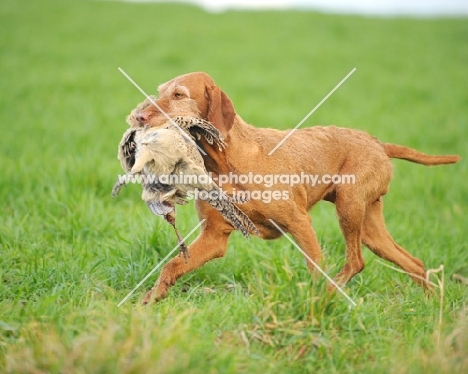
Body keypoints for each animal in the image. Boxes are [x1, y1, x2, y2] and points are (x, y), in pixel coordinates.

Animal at [130, 71, 458, 304]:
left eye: (178, 94)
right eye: (160, 91)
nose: (139, 116)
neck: (226, 161)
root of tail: (378, 143)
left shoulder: (300, 223)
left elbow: (316, 270)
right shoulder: (214, 237)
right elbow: (172, 266)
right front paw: (150, 299)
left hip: (349, 205)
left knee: (356, 261)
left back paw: (331, 295)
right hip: (370, 227)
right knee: (414, 263)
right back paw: (432, 307)